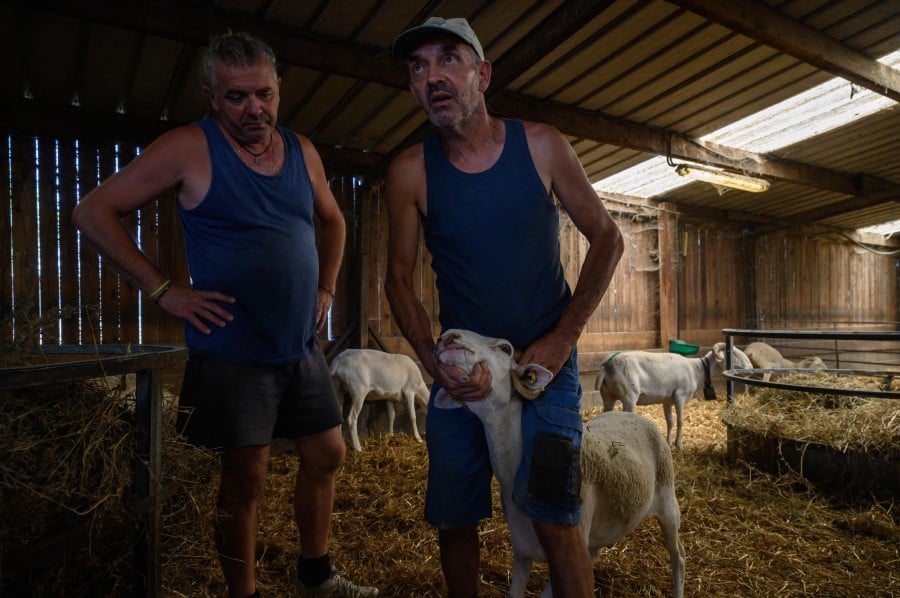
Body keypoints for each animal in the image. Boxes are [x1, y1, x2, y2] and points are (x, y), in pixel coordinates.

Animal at [434, 330, 684, 598]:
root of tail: (632, 415)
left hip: (668, 502)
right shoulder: (521, 552)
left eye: (505, 348)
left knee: (678, 556)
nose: (448, 337)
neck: (514, 475)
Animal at [596, 342, 756, 450]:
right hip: (629, 396)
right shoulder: (680, 396)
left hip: (607, 396)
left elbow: (670, 422)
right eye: (733, 353)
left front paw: (668, 443)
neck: (697, 370)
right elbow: (680, 421)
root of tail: (607, 365)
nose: (751, 368)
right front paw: (679, 444)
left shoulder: (667, 401)